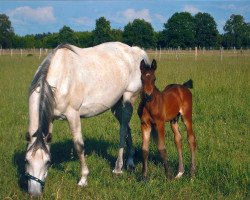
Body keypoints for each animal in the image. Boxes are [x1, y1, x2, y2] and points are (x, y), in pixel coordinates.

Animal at [25, 41, 148, 196]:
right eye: (27, 161)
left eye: (47, 162)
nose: (34, 193)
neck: (60, 77)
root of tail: (136, 51)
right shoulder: (51, 118)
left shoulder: (73, 115)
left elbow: (79, 146)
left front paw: (83, 179)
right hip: (117, 106)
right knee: (127, 129)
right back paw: (130, 162)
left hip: (128, 98)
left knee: (122, 132)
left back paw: (118, 168)